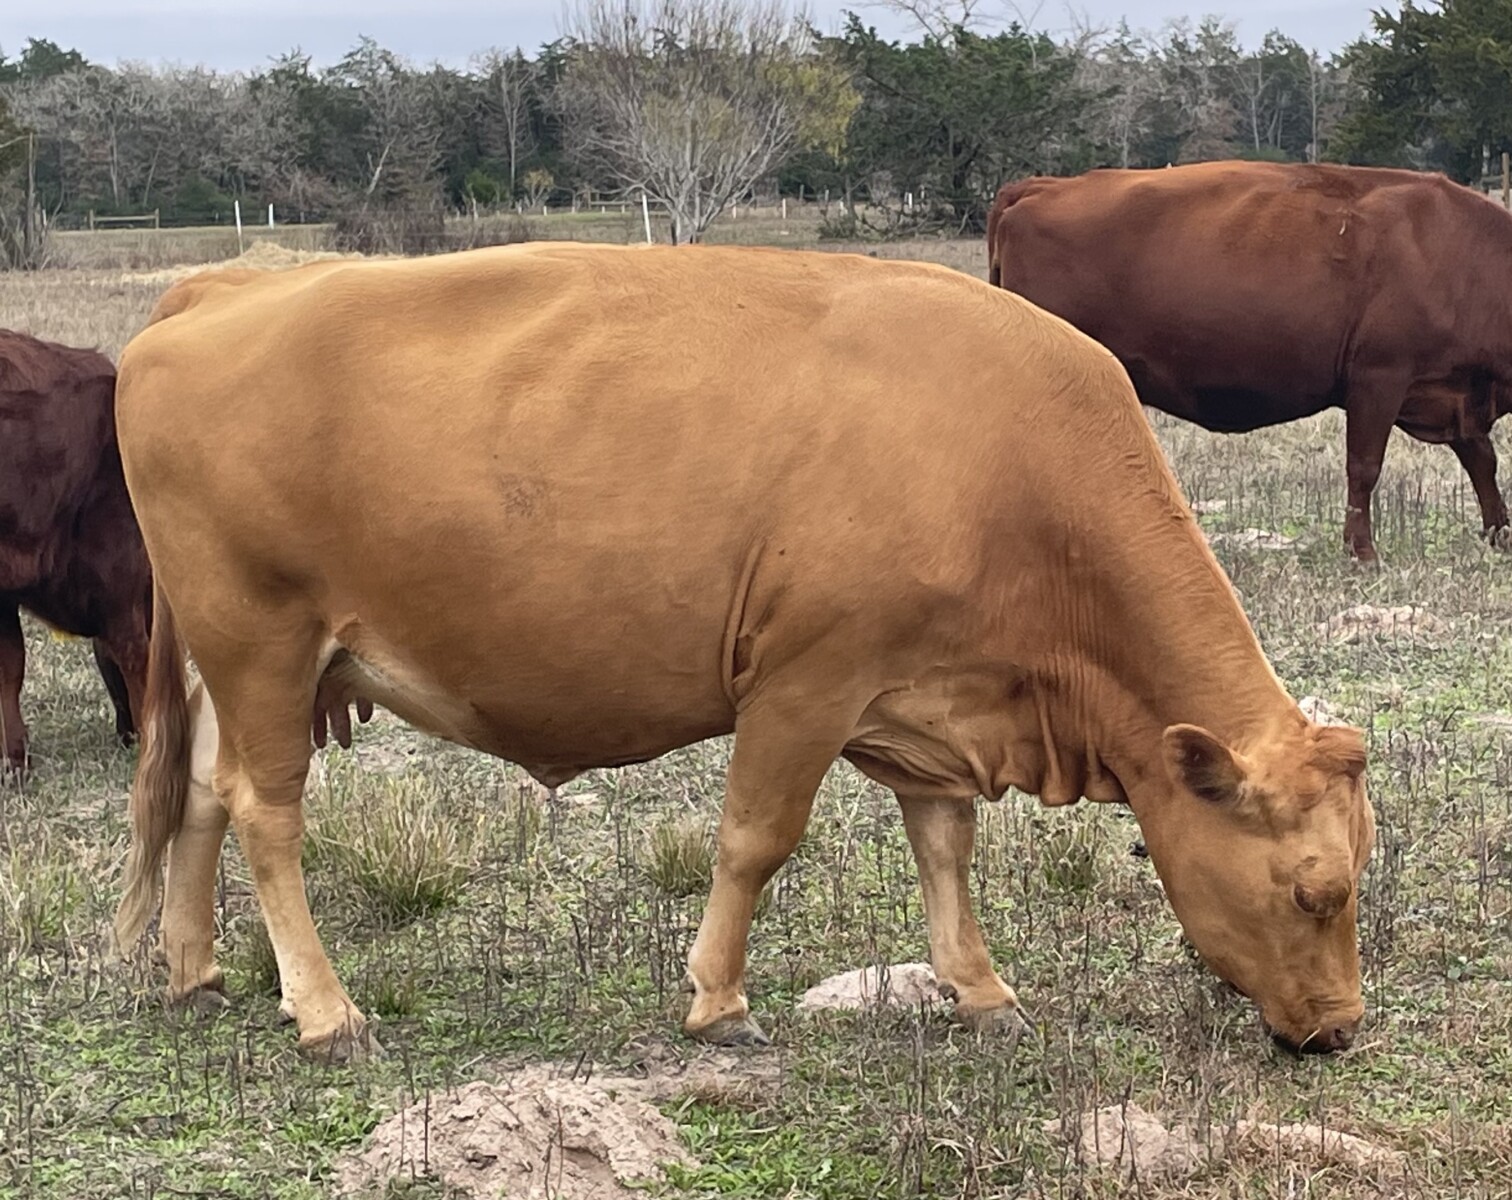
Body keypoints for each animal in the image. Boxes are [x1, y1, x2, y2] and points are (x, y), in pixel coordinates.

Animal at [110, 243, 1375, 1064]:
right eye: (1316, 891)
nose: (1341, 1030)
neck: (1006, 465)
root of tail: (227, 288)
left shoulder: (929, 697)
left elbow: (945, 847)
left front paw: (980, 989)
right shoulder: (806, 682)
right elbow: (755, 842)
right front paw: (719, 1003)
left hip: (238, 663)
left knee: (204, 797)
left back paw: (196, 973)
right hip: (264, 641)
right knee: (266, 813)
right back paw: (325, 1010)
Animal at [987, 161, 1512, 562]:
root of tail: (1041, 186)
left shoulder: (1459, 398)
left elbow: (1483, 463)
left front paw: (1500, 537)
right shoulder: (1379, 378)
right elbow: (1364, 468)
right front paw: (1363, 554)